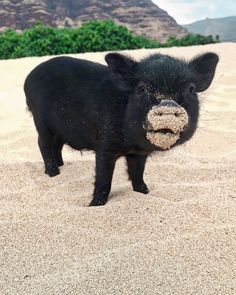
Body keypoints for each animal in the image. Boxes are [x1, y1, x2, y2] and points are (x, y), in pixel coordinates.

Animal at [24, 52, 218, 206]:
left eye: (191, 88)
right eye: (141, 87)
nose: (168, 105)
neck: (132, 143)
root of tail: (28, 77)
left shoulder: (138, 153)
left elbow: (137, 173)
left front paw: (145, 192)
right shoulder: (105, 146)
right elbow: (103, 179)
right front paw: (95, 205)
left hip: (60, 129)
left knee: (57, 145)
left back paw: (61, 166)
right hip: (41, 121)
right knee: (42, 143)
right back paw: (53, 173)